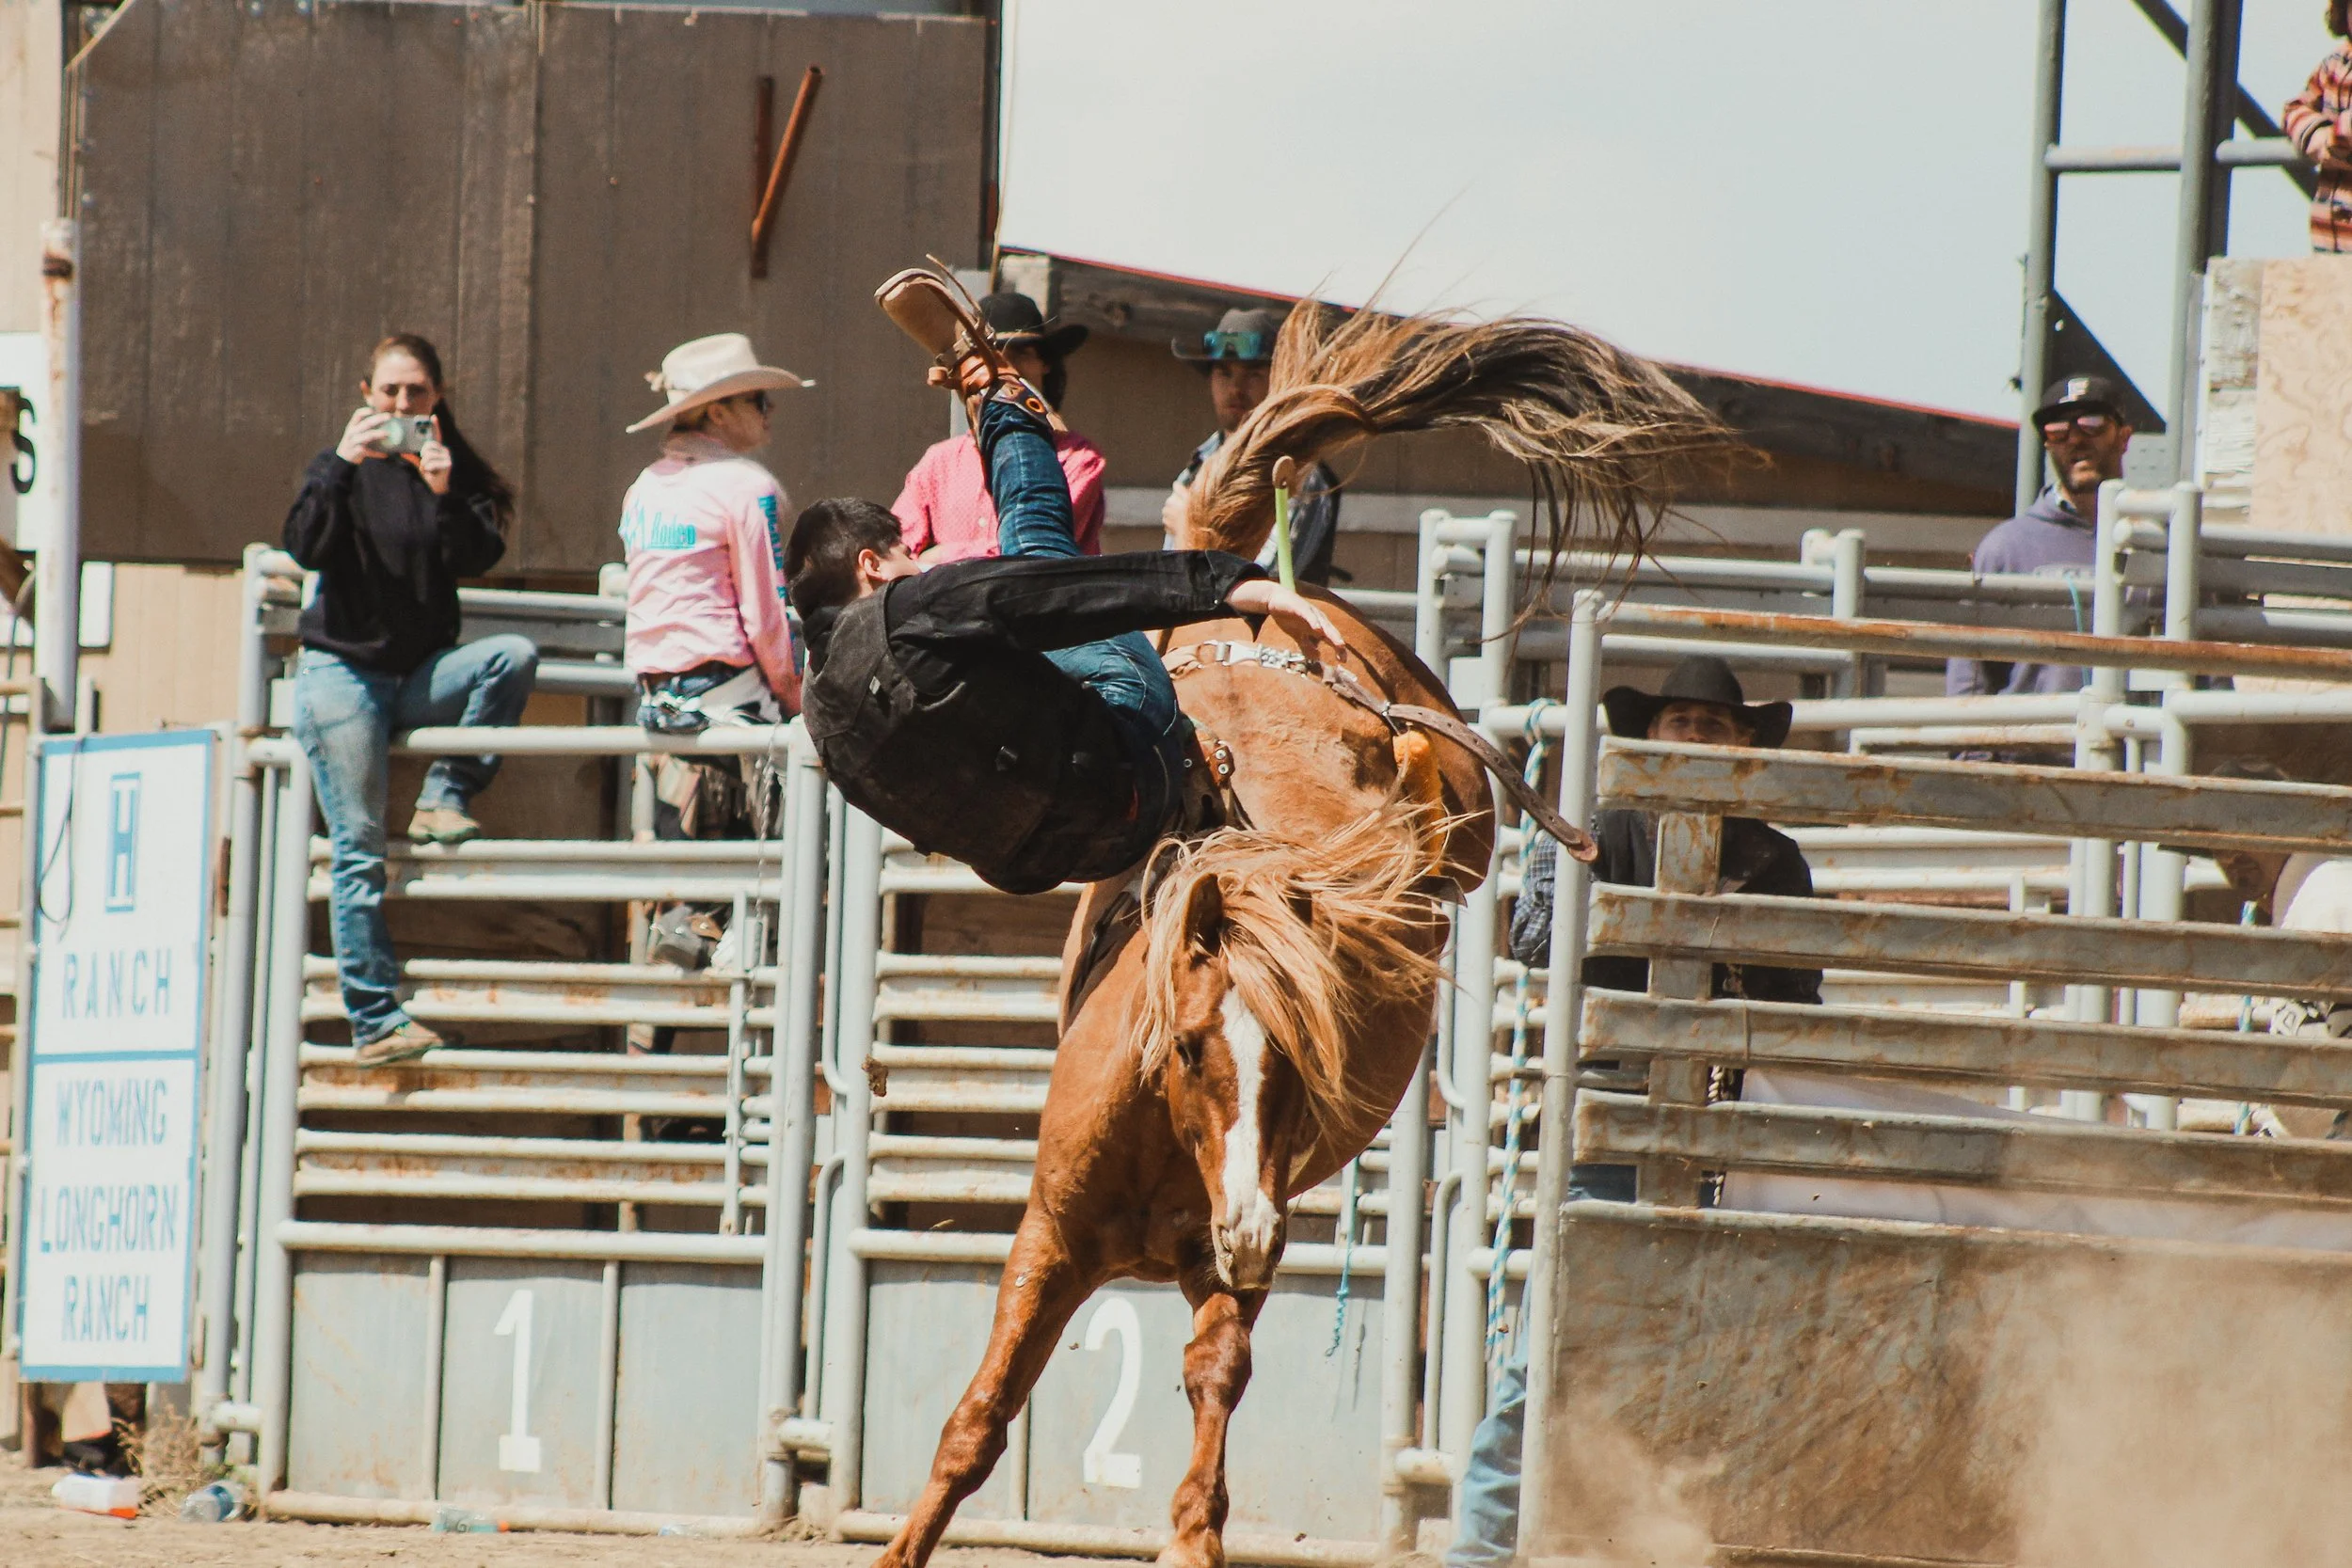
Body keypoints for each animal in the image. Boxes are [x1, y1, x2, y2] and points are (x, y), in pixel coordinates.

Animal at [869, 301, 1723, 1568]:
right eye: (1184, 1045)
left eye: (1303, 1062)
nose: (1249, 1224)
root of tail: (1263, 602)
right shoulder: (1052, 1235)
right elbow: (978, 1420)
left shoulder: (1244, 1237)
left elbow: (1212, 1377)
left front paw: (1193, 1538)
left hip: (1454, 799)